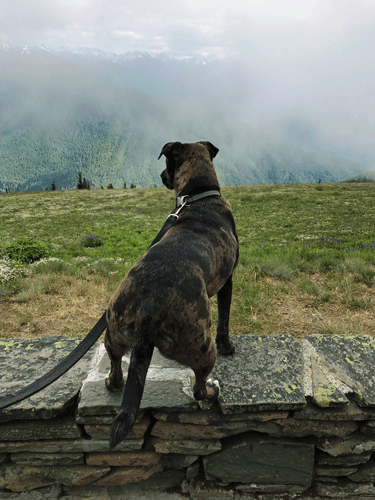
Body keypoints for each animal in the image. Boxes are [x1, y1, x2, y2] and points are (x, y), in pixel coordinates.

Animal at [104, 141, 239, 450]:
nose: (161, 176)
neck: (199, 197)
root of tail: (147, 310)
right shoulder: (227, 281)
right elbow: (225, 319)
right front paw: (228, 345)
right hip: (202, 346)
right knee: (199, 388)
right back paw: (212, 392)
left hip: (112, 328)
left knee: (115, 365)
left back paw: (111, 381)